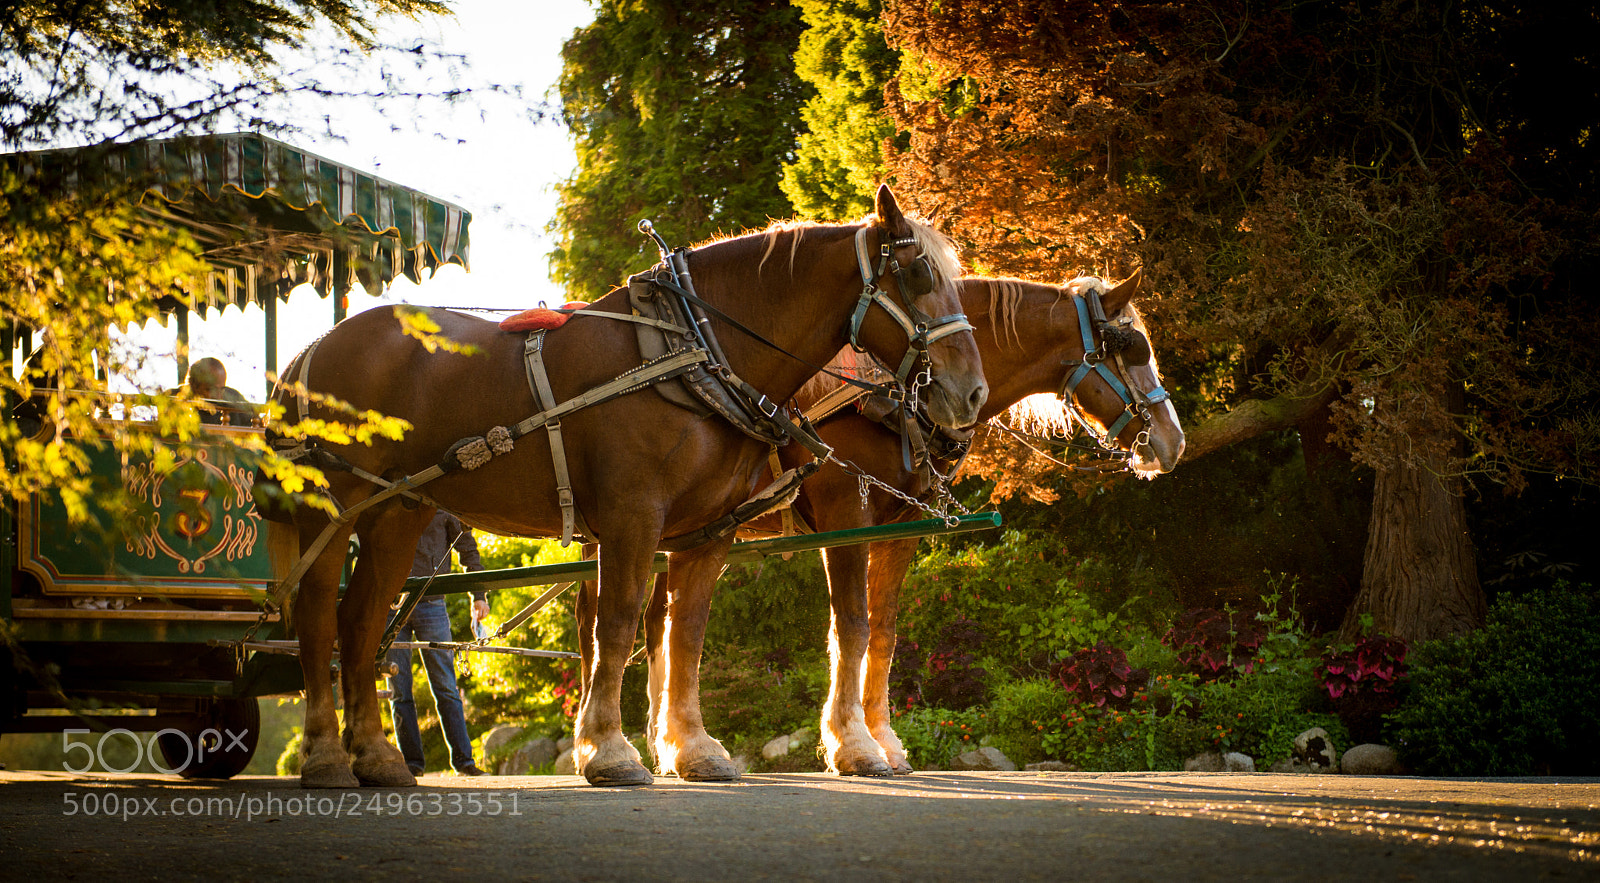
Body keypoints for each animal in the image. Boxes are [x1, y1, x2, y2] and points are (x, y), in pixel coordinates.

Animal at [265, 184, 988, 788]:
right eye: (919, 274)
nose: (971, 393)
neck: (693, 353)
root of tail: (316, 346)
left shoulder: (706, 533)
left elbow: (685, 637)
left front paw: (693, 749)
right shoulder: (632, 519)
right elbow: (616, 627)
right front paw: (610, 752)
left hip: (398, 512)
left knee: (359, 623)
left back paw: (376, 756)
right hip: (332, 507)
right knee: (319, 619)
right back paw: (326, 757)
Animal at [633, 271, 1184, 775]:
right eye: (1134, 348)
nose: (1173, 442)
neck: (899, 390)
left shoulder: (901, 527)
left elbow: (884, 632)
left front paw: (884, 741)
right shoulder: (846, 515)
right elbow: (851, 626)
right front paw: (853, 745)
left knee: (657, 621)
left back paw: (664, 745)